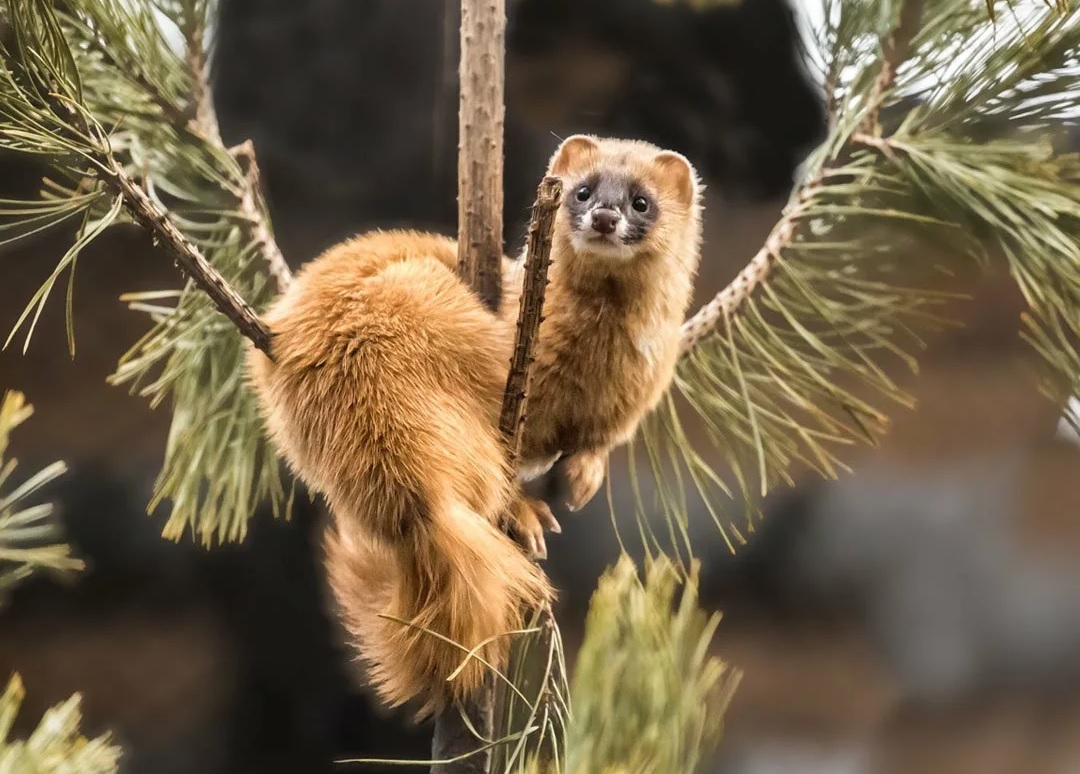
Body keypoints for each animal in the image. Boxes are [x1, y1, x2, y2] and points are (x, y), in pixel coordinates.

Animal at [244, 134, 699, 716]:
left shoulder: (626, 405)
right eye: (583, 190)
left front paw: (584, 476)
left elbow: (595, 445)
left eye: (642, 201)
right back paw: (524, 516)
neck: (592, 375)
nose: (603, 216)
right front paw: (535, 508)